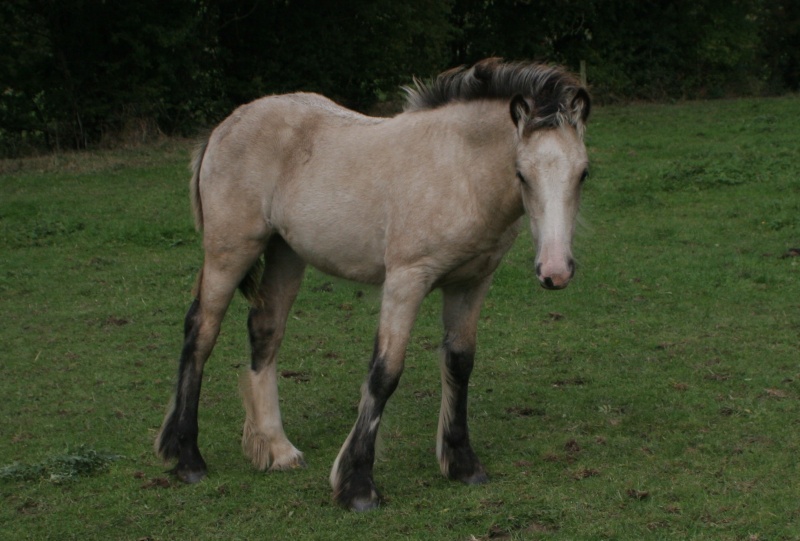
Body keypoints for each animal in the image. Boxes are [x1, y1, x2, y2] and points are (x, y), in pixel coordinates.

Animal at [153, 59, 592, 510]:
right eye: (521, 174)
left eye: (583, 174)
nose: (555, 270)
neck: (457, 170)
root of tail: (225, 126)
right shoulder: (406, 279)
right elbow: (385, 372)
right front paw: (358, 485)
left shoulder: (471, 283)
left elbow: (459, 364)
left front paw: (463, 464)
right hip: (230, 251)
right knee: (201, 332)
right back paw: (187, 458)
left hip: (285, 253)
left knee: (265, 331)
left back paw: (277, 449)